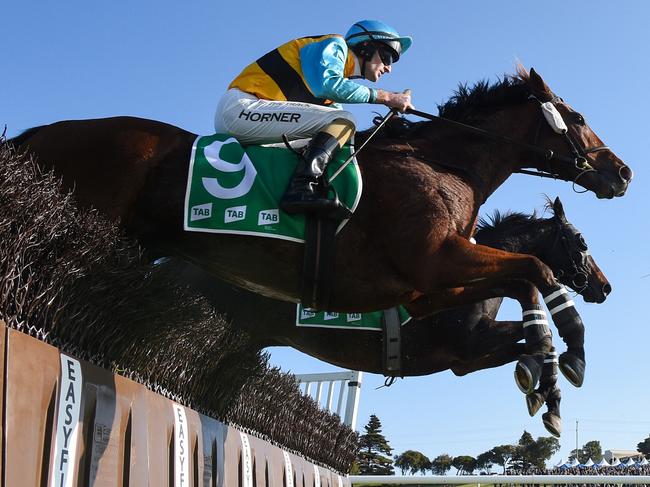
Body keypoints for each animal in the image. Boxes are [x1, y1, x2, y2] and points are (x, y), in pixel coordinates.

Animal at [7, 68, 632, 394]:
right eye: (577, 118)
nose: (622, 172)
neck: (443, 163)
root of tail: (42, 132)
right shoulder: (436, 268)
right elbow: (537, 271)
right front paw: (561, 360)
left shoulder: (430, 292)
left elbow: (525, 293)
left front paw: (547, 368)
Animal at [171, 198, 608, 438]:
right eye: (582, 241)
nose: (604, 287)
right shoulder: (467, 344)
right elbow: (538, 340)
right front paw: (547, 382)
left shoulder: (466, 360)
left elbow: (527, 345)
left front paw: (545, 395)